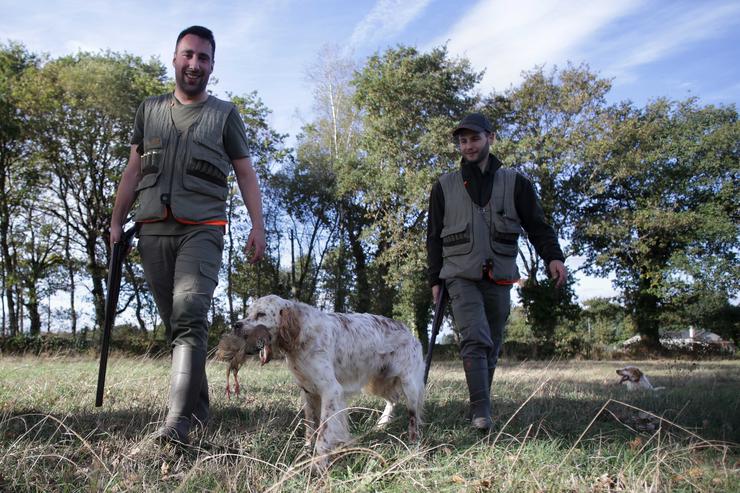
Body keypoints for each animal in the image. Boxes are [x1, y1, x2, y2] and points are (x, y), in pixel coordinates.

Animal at [234, 294, 424, 468]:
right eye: (248, 313)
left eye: (261, 314)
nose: (236, 325)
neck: (301, 333)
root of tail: (409, 332)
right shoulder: (308, 392)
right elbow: (311, 428)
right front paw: (305, 451)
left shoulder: (331, 390)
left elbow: (323, 433)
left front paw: (319, 463)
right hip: (377, 383)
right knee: (393, 399)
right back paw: (382, 424)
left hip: (409, 386)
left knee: (413, 416)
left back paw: (413, 444)